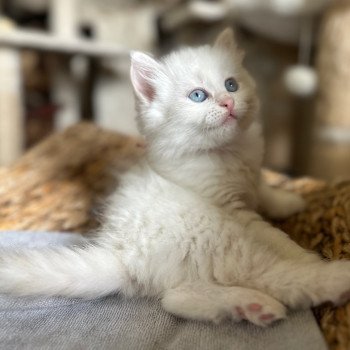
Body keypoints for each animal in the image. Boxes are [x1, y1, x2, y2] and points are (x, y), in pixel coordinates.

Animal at [0, 28, 350, 326]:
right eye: (198, 96)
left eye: (231, 85)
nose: (228, 102)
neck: (226, 153)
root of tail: (121, 255)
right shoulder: (232, 209)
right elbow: (275, 236)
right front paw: (301, 251)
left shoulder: (251, 178)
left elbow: (264, 189)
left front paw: (289, 201)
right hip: (220, 241)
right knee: (276, 275)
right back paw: (332, 277)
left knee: (176, 299)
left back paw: (250, 306)